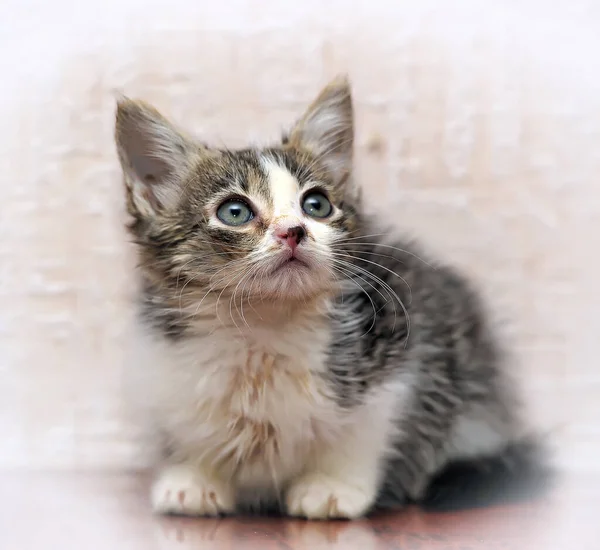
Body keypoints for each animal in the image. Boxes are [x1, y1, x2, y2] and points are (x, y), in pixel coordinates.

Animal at [113, 75, 548, 520]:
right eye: (234, 212)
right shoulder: (163, 366)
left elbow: (366, 428)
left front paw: (332, 485)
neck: (266, 323)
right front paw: (194, 477)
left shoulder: (400, 342)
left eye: (316, 205)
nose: (293, 231)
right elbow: (185, 424)